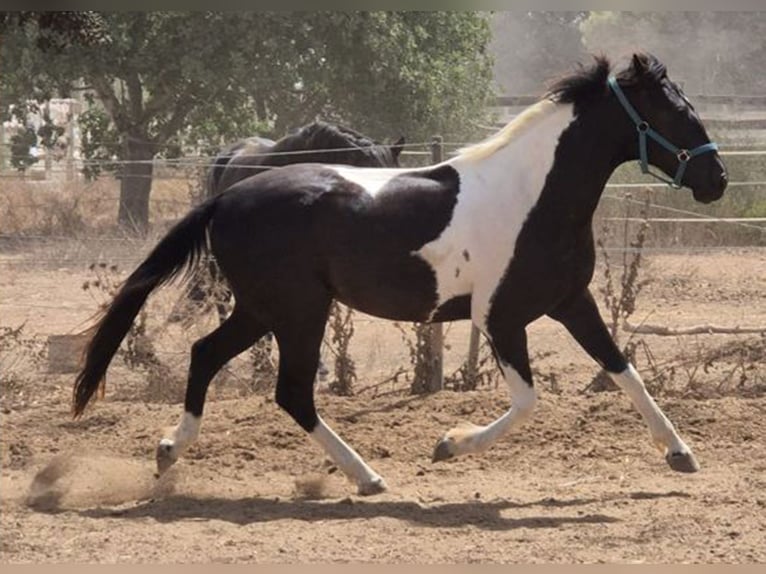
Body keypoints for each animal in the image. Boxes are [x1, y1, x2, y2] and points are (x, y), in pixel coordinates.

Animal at [73, 53, 727, 496]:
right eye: (675, 110)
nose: (716, 180)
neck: (533, 195)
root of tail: (227, 196)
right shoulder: (500, 317)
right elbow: (527, 401)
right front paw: (448, 446)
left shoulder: (571, 301)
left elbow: (624, 371)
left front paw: (681, 453)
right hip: (297, 311)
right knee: (289, 391)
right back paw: (367, 477)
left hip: (263, 309)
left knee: (207, 356)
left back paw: (168, 450)